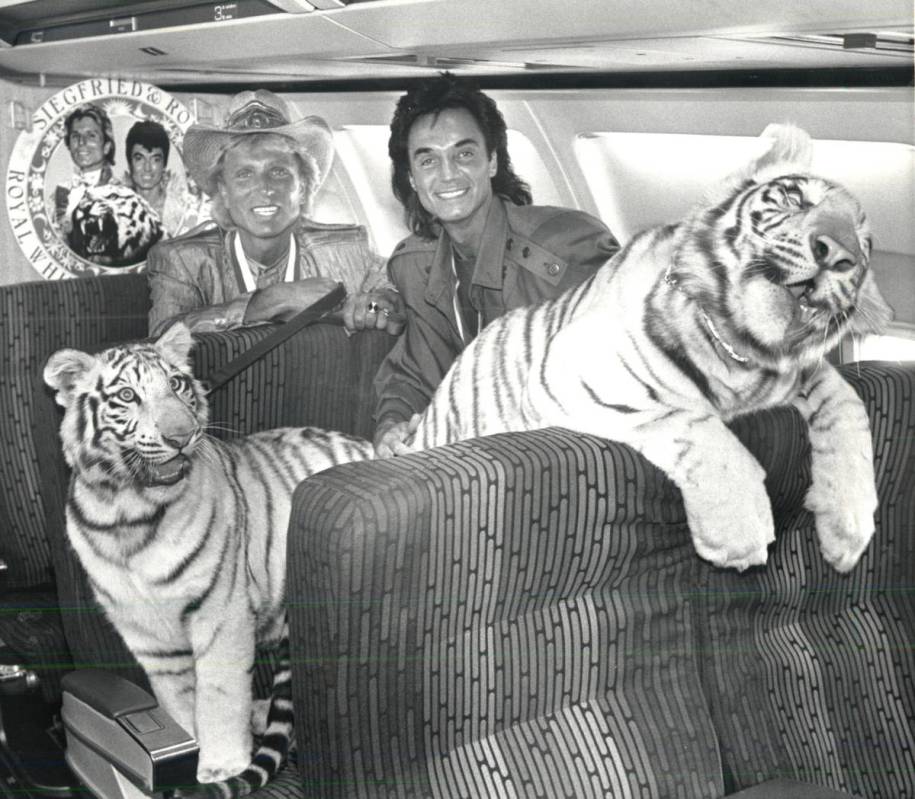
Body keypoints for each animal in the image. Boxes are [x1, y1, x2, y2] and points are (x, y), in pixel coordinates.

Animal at [44, 322, 374, 792]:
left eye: (177, 384)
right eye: (127, 395)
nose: (181, 436)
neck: (129, 513)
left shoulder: (221, 611)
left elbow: (219, 693)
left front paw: (222, 765)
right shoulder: (148, 635)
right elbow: (179, 702)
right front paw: (190, 752)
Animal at [410, 123, 896, 576]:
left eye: (864, 243)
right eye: (796, 199)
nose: (837, 252)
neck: (739, 351)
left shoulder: (806, 373)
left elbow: (847, 406)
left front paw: (849, 529)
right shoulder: (575, 368)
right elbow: (687, 418)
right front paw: (738, 529)